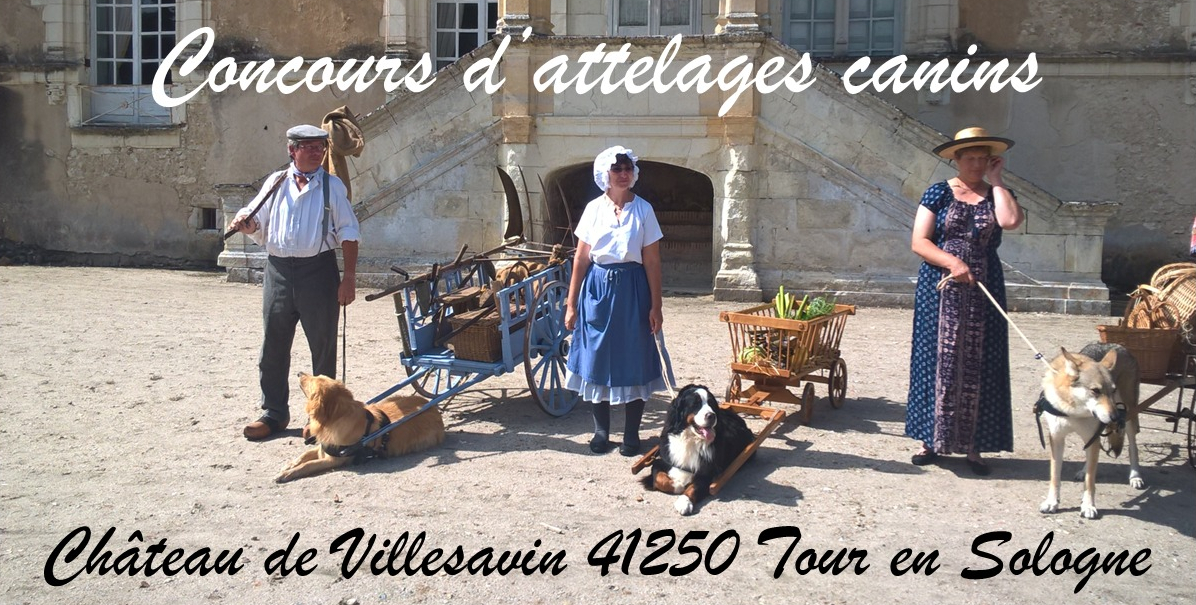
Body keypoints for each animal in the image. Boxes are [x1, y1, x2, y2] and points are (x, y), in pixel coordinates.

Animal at [273, 373, 444, 483]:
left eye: (313, 380)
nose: (298, 373)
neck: (334, 419)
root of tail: (434, 408)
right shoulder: (324, 447)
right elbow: (304, 455)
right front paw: (290, 465)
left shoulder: (333, 460)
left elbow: (308, 465)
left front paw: (287, 474)